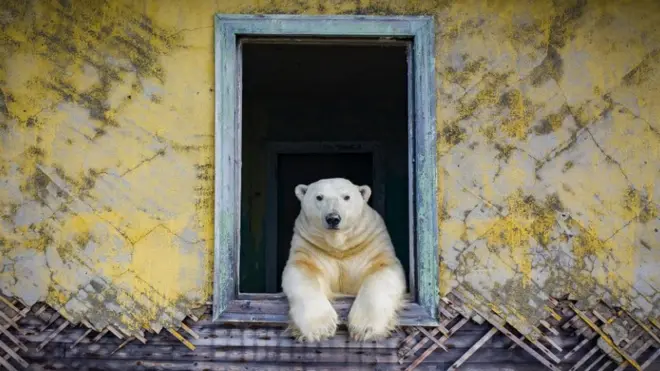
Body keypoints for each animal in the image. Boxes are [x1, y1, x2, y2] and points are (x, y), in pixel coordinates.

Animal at [280, 177, 404, 342]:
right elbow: (303, 271)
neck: (339, 247)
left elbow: (382, 270)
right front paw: (320, 328)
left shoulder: (370, 243)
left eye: (346, 197)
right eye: (319, 197)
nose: (333, 218)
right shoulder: (309, 246)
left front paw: (364, 328)